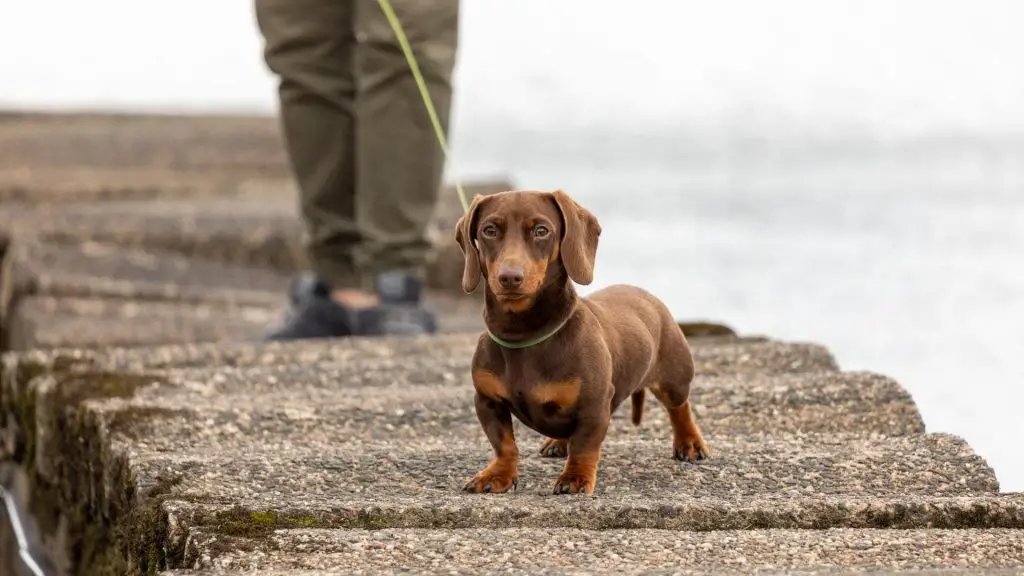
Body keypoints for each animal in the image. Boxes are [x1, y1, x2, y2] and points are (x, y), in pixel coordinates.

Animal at [456, 189, 712, 494]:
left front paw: (575, 478)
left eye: (541, 230)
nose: (509, 277)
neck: (522, 334)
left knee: (680, 408)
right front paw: (497, 475)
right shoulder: (487, 401)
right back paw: (557, 443)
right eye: (489, 230)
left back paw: (690, 443)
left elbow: (584, 445)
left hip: (673, 378)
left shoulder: (594, 406)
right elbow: (504, 444)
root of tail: (646, 294)